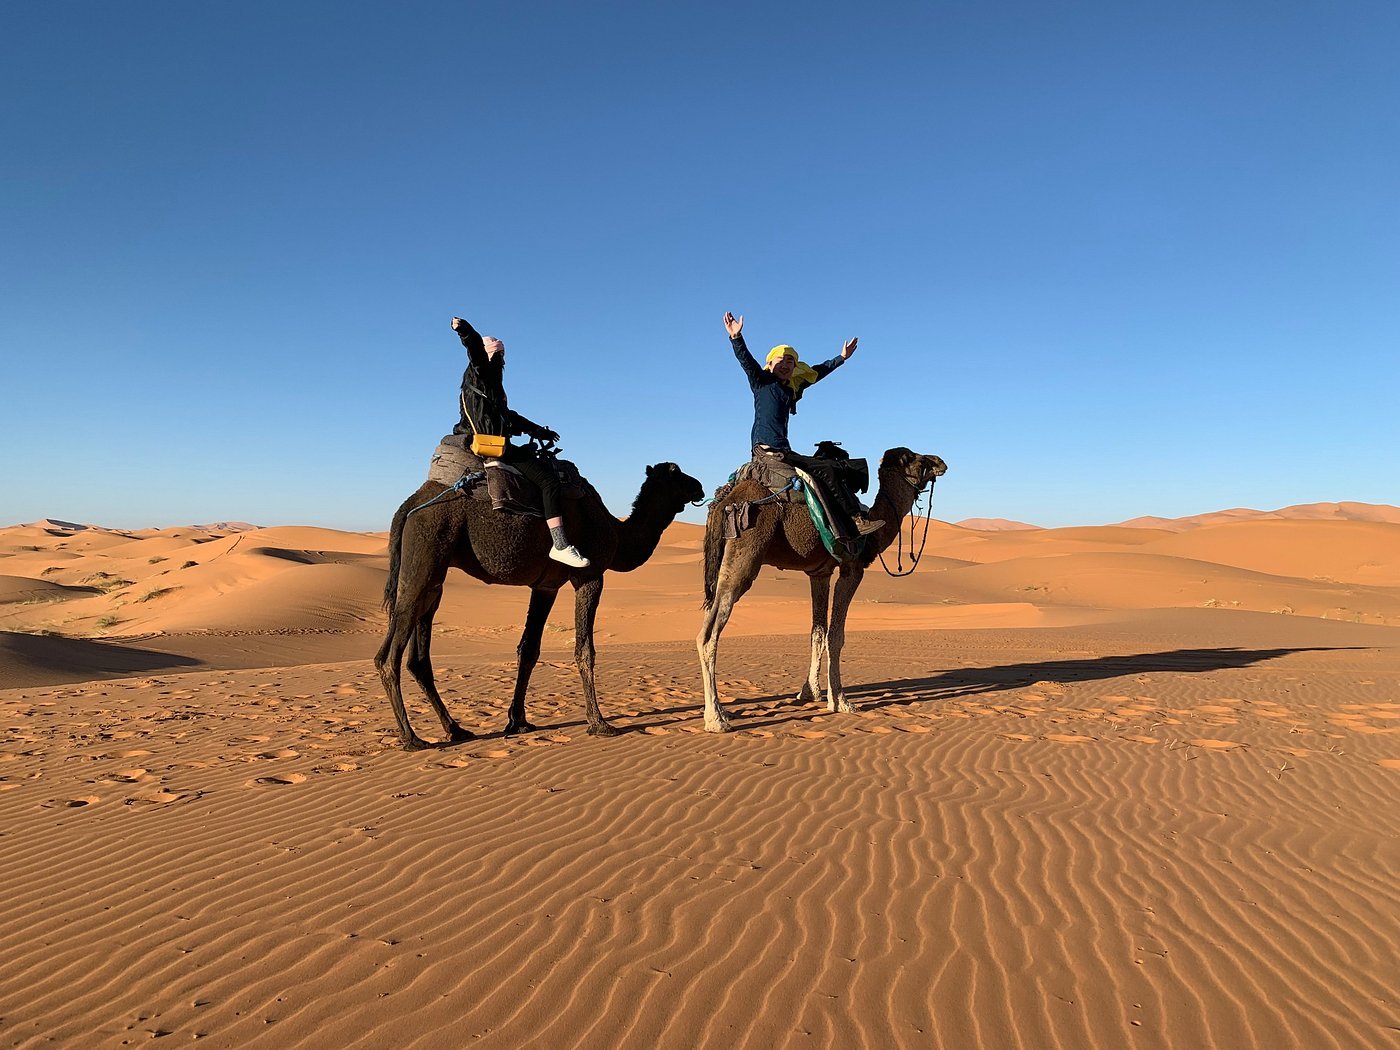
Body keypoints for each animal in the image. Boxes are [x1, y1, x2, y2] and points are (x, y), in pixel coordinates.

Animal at [377, 461, 704, 749]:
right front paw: (599, 722)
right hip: (425, 555)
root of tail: (408, 506)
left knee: (417, 658)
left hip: (434, 580)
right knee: (388, 656)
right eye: (677, 474)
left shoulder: (545, 586)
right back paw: (411, 738)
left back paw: (456, 729)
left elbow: (529, 650)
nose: (699, 486)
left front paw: (518, 721)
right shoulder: (589, 575)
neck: (616, 532)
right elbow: (584, 650)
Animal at [697, 447, 947, 732]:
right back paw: (716, 718)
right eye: (915, 458)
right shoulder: (852, 568)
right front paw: (840, 701)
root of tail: (723, 503)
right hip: (744, 553)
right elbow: (835, 636)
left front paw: (810, 692)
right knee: (708, 634)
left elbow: (817, 632)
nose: (940, 462)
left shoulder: (819, 573)